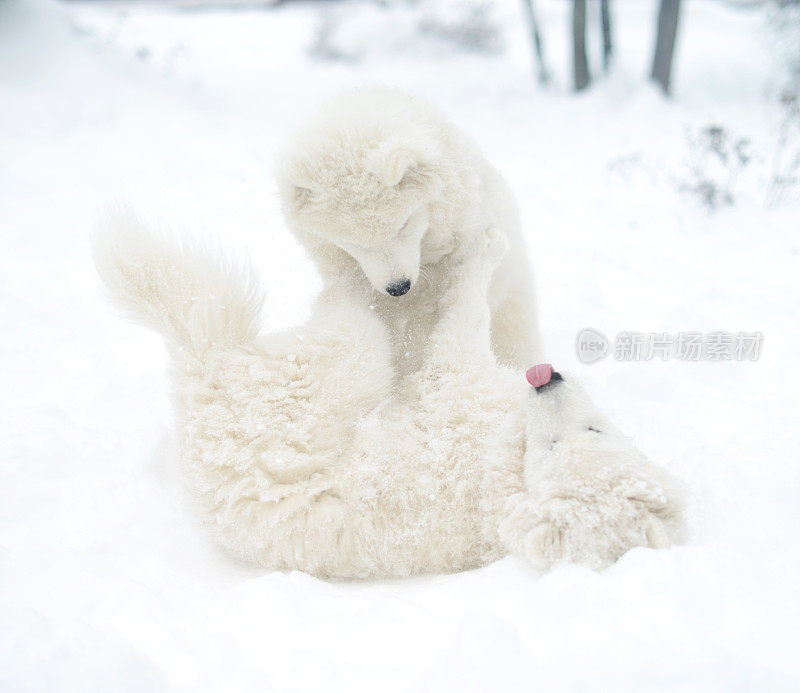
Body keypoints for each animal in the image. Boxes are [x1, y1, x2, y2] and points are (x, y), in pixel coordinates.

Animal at [92, 212, 680, 580]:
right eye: (595, 428)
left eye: (576, 438)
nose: (546, 378)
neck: (509, 465)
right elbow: (469, 309)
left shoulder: (453, 374)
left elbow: (466, 310)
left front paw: (484, 248)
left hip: (348, 363)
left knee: (344, 308)